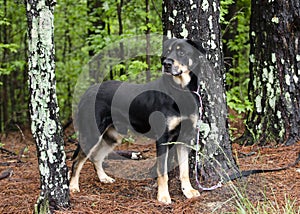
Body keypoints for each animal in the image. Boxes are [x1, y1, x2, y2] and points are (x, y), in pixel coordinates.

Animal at [69, 38, 207, 204]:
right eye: (167, 52)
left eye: (181, 52)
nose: (166, 64)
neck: (180, 91)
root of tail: (88, 91)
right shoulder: (163, 138)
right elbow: (162, 172)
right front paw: (163, 196)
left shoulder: (184, 137)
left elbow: (184, 170)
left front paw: (188, 191)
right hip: (92, 133)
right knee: (77, 161)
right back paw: (73, 187)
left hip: (112, 136)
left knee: (96, 157)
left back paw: (103, 178)